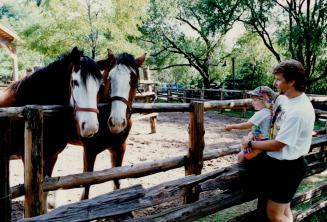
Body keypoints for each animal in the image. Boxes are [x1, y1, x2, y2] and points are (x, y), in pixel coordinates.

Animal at [79, 50, 147, 199]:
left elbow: (116, 180)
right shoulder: (89, 152)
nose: (117, 122)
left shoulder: (119, 148)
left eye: (134, 80)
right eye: (109, 78)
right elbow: (86, 186)